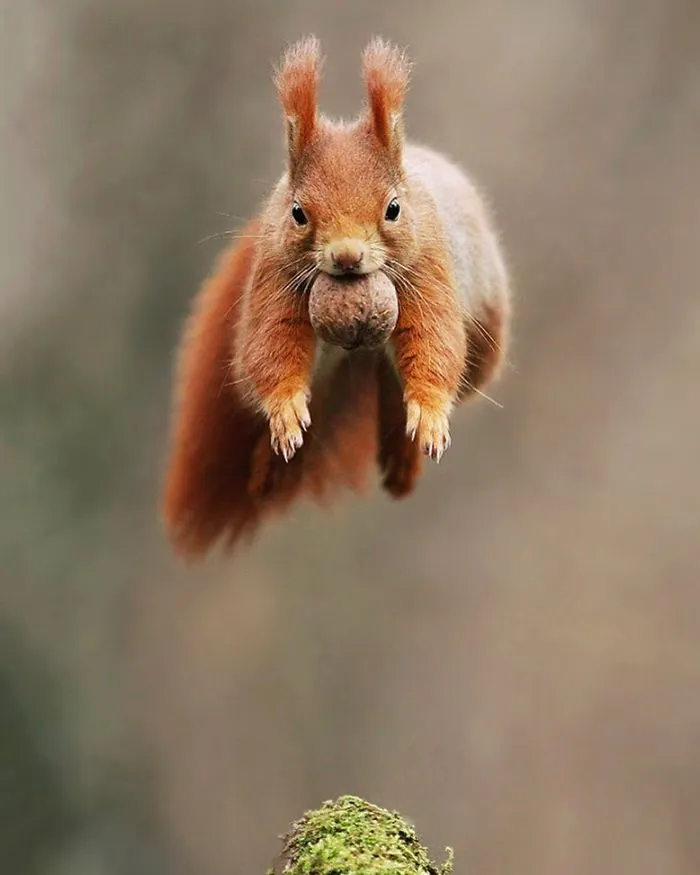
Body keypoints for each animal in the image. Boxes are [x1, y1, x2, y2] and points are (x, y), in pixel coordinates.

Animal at [161, 36, 512, 559]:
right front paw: (284, 411)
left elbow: (434, 342)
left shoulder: (428, 268)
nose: (347, 256)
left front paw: (429, 413)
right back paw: (268, 470)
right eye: (298, 213)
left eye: (393, 209)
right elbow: (271, 348)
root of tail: (366, 359)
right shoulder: (275, 275)